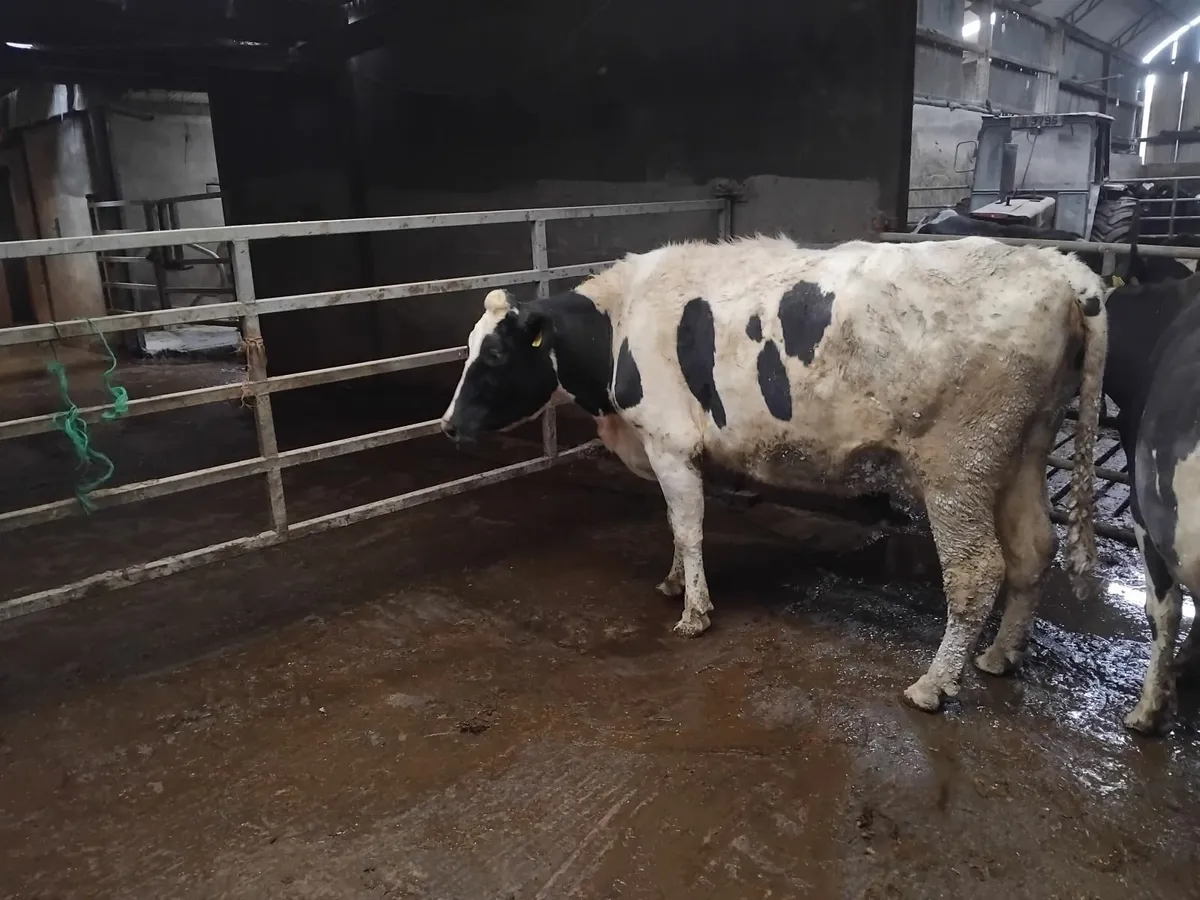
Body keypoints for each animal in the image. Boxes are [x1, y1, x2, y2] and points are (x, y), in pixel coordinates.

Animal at [441, 235, 1108, 713]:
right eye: (469, 348)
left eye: (494, 355)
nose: (446, 424)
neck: (621, 321)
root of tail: (1059, 268)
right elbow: (677, 524)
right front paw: (674, 583)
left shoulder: (668, 441)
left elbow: (688, 527)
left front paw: (694, 612)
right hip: (1022, 449)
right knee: (1032, 548)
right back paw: (1001, 654)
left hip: (958, 467)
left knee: (977, 571)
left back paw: (933, 684)